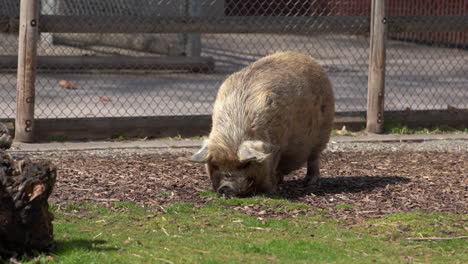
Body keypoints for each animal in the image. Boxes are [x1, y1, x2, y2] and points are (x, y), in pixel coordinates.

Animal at [188, 51, 334, 196]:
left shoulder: (277, 146)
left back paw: (309, 181)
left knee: (314, 157)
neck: (234, 132)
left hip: (324, 130)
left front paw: (271, 190)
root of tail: (309, 59)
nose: (226, 188)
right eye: (215, 165)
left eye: (244, 165)